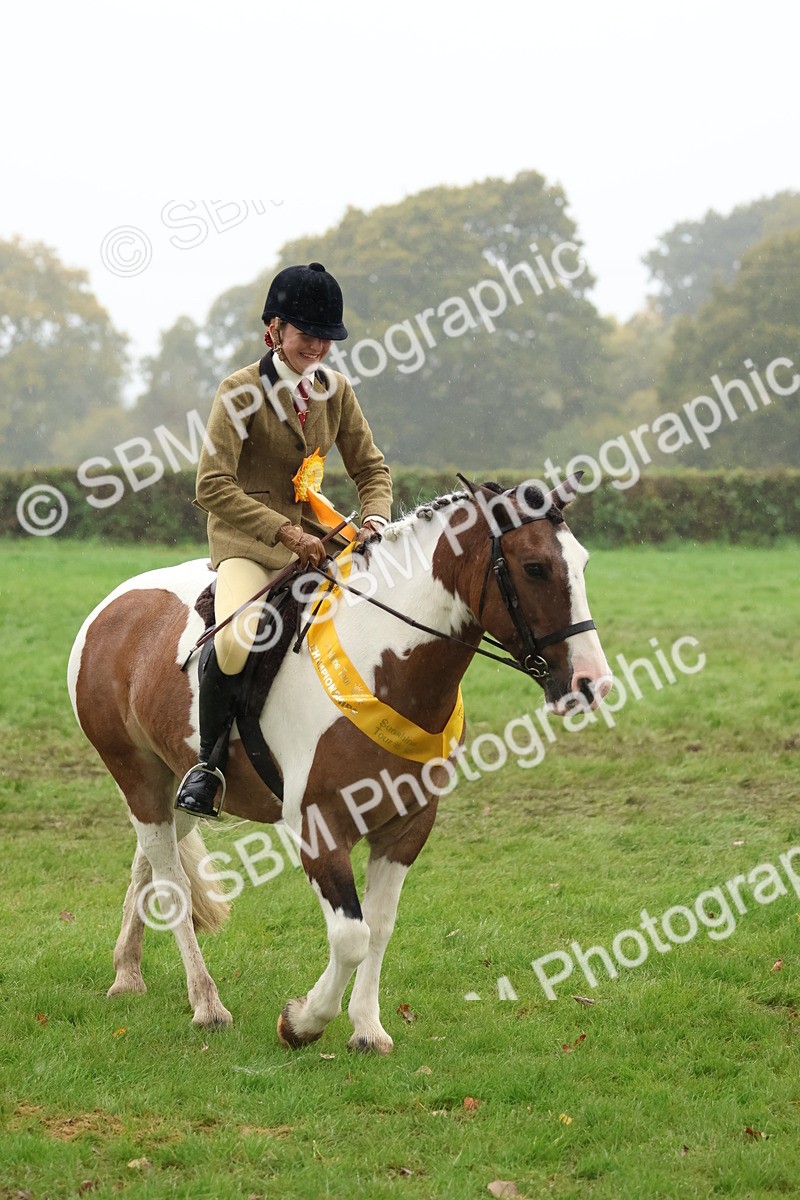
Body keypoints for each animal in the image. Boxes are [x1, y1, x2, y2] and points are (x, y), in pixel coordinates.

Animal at [67, 475, 611, 1052]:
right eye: (535, 567)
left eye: (582, 562)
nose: (591, 683)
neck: (385, 663)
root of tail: (113, 604)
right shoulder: (319, 826)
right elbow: (351, 934)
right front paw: (302, 1022)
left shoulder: (407, 825)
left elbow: (380, 926)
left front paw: (367, 1028)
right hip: (137, 774)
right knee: (169, 877)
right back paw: (207, 1004)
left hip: (181, 781)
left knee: (149, 858)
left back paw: (127, 973)